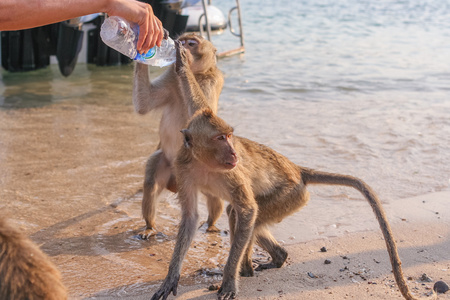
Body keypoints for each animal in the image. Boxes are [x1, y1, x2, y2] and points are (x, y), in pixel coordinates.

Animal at [133, 32, 225, 239]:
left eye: (191, 43)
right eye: (183, 40)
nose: (180, 45)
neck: (197, 74)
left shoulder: (212, 80)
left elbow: (204, 114)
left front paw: (183, 62)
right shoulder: (170, 77)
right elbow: (144, 104)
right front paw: (143, 46)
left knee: (214, 195)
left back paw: (211, 224)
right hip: (165, 163)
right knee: (151, 184)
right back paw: (150, 227)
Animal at [151, 42, 428, 300]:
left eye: (229, 136)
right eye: (220, 138)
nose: (234, 153)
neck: (203, 163)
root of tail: (297, 170)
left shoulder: (232, 172)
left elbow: (248, 211)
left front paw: (229, 280)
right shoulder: (184, 169)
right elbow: (190, 218)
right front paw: (170, 278)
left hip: (291, 195)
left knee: (244, 214)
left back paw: (245, 269)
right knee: (238, 214)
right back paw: (274, 258)